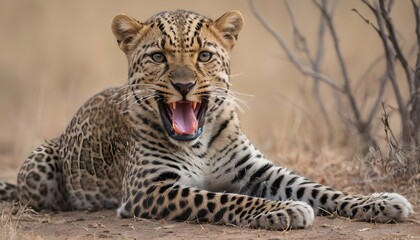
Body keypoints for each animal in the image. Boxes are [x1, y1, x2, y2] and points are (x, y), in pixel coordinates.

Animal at [0, 9, 414, 231]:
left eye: (203, 56)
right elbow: (224, 198)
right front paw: (285, 210)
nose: (184, 85)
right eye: (158, 57)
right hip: (39, 164)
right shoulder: (150, 189)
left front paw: (382, 201)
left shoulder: (258, 169)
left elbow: (320, 188)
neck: (197, 143)